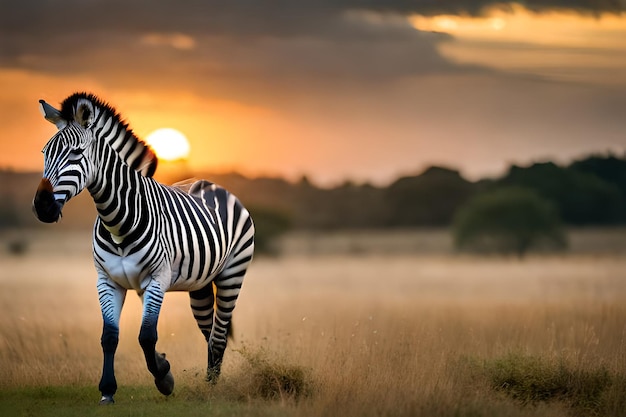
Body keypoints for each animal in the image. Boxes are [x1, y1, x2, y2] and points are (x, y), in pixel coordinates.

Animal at [31, 92, 256, 404]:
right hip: (200, 285)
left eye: (76, 153)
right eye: (44, 153)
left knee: (220, 334)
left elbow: (146, 336)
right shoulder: (107, 281)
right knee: (209, 332)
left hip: (232, 274)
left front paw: (164, 379)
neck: (117, 220)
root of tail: (211, 184)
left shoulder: (157, 279)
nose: (42, 206)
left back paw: (212, 388)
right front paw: (108, 390)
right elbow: (110, 337)